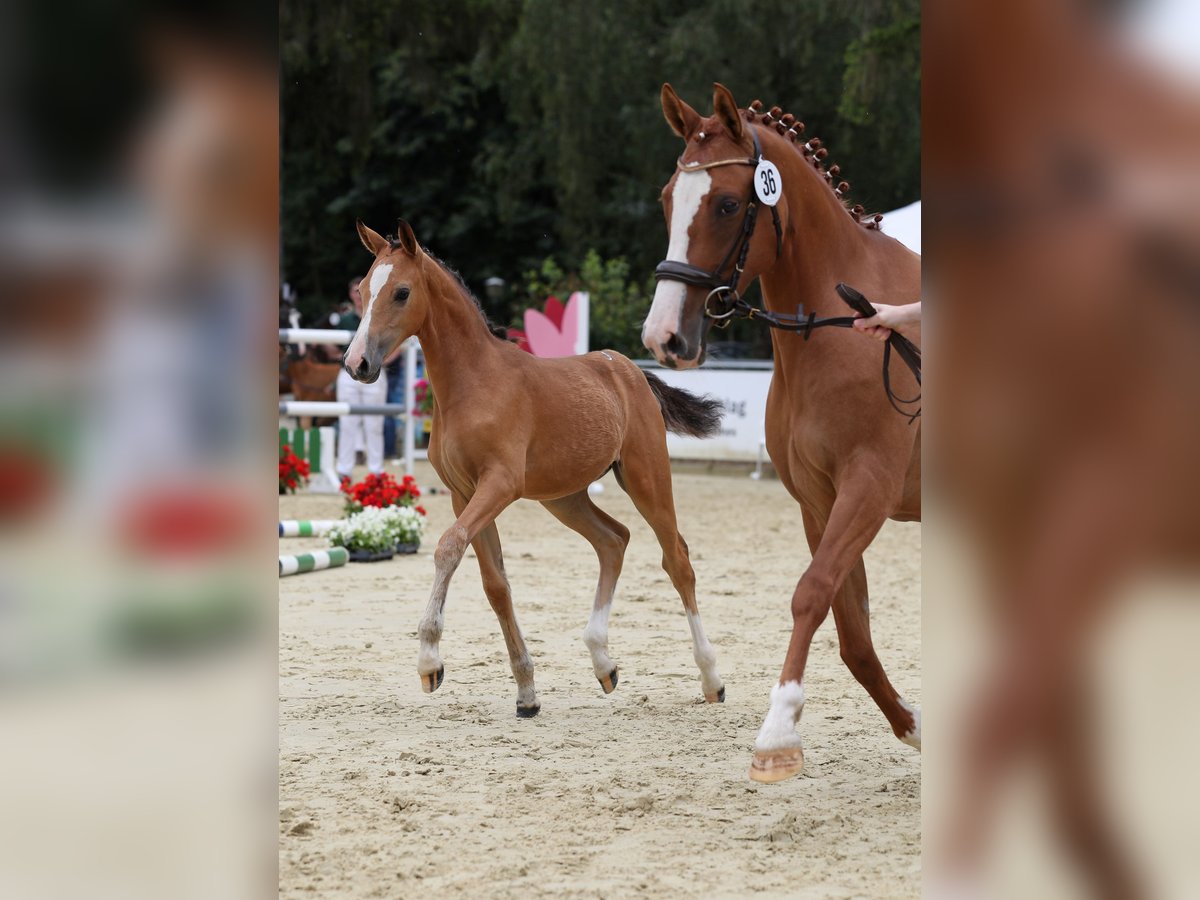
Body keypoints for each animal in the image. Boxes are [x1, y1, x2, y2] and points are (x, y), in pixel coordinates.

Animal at [343, 220, 724, 720]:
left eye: (402, 292)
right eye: (363, 290)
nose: (357, 364)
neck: (473, 383)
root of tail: (628, 369)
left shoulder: (500, 485)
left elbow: (448, 547)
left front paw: (429, 662)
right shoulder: (464, 493)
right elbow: (495, 584)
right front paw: (526, 692)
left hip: (646, 477)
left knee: (676, 559)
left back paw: (711, 679)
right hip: (563, 497)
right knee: (613, 540)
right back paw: (603, 662)